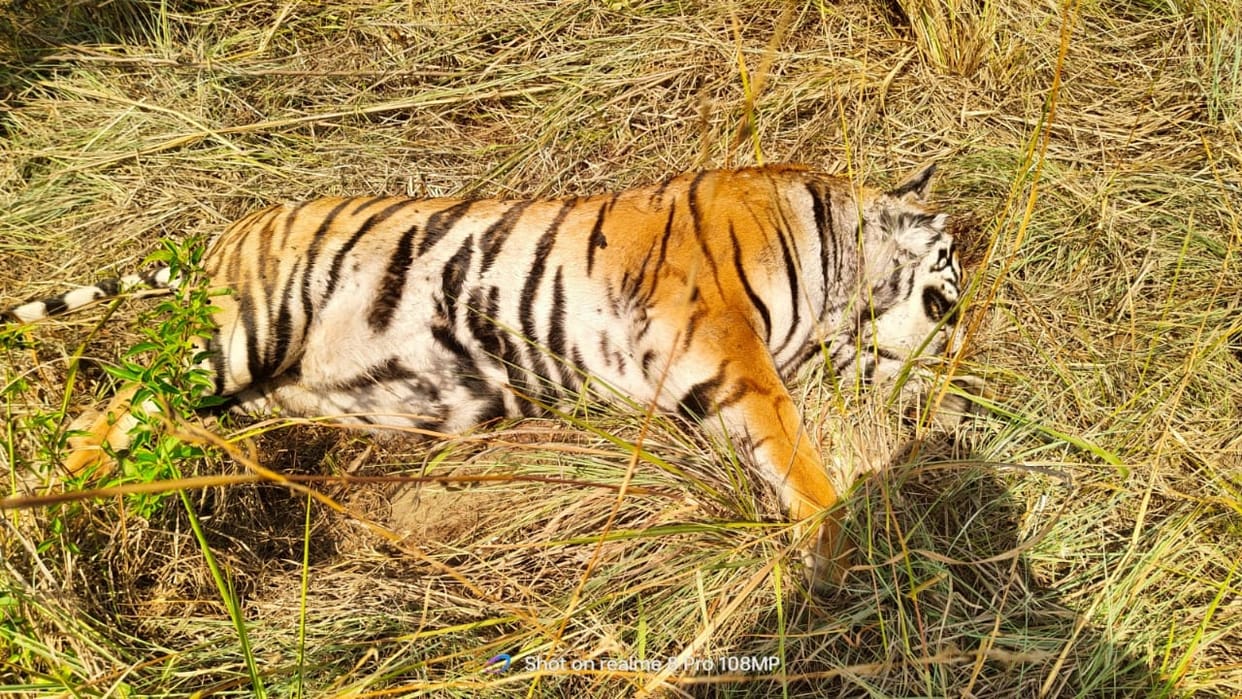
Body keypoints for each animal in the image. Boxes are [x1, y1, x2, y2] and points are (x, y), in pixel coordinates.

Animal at [3, 163, 966, 585]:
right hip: (241, 330)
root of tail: (221, 236)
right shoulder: (722, 338)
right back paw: (47, 508)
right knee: (114, 407)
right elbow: (790, 440)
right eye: (947, 294)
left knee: (164, 418)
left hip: (250, 390)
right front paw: (839, 539)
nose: (946, 371)